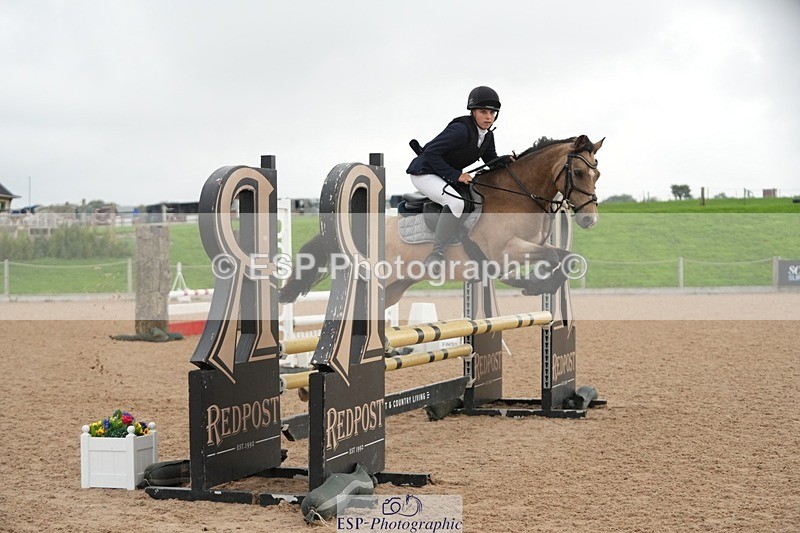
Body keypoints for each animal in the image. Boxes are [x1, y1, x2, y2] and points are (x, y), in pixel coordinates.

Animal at [280, 135, 604, 308]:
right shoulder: (506, 251)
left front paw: (534, 283)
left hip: (394, 289)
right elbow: (559, 257)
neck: (517, 195)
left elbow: (565, 258)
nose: (590, 219)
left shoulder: (526, 248)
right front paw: (531, 285)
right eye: (577, 173)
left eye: (597, 173)